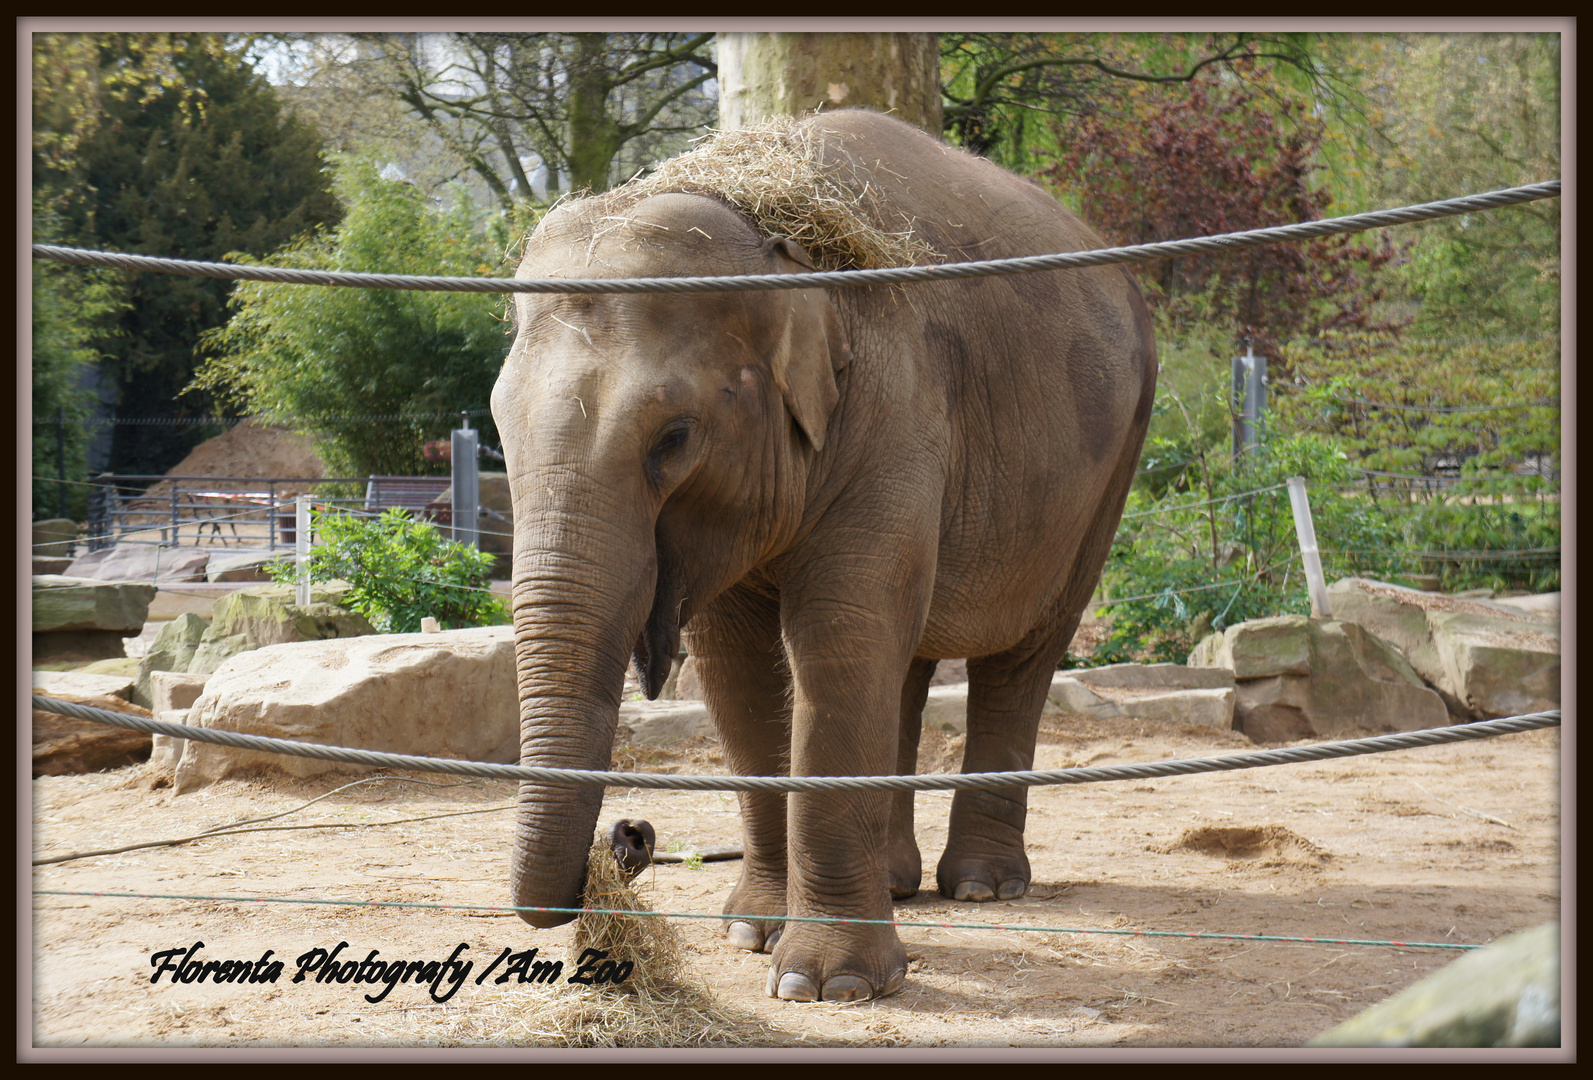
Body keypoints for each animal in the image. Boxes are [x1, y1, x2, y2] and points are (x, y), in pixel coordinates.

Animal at [490, 107, 1153, 1006]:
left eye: (674, 438)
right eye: (496, 426)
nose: (629, 837)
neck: (767, 236)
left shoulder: (895, 403)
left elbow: (839, 634)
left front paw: (825, 985)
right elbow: (738, 667)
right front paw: (751, 934)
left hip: (1108, 471)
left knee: (1020, 655)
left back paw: (984, 886)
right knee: (906, 662)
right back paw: (900, 882)